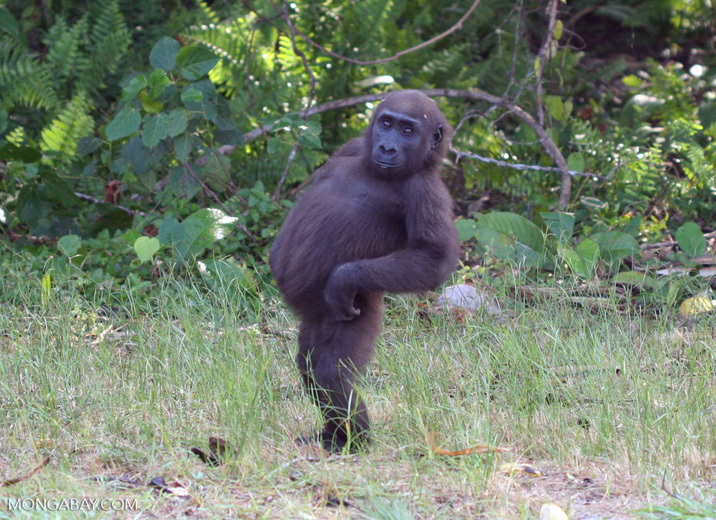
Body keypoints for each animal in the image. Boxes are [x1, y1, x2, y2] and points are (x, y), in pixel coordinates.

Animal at [268, 89, 458, 450]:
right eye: (386, 124)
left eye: (408, 131)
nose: (387, 148)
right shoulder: (353, 146)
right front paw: (274, 254)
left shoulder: (425, 189)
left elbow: (433, 258)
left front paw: (343, 279)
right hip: (315, 320)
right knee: (309, 365)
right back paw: (331, 433)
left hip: (359, 310)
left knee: (330, 373)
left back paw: (353, 441)